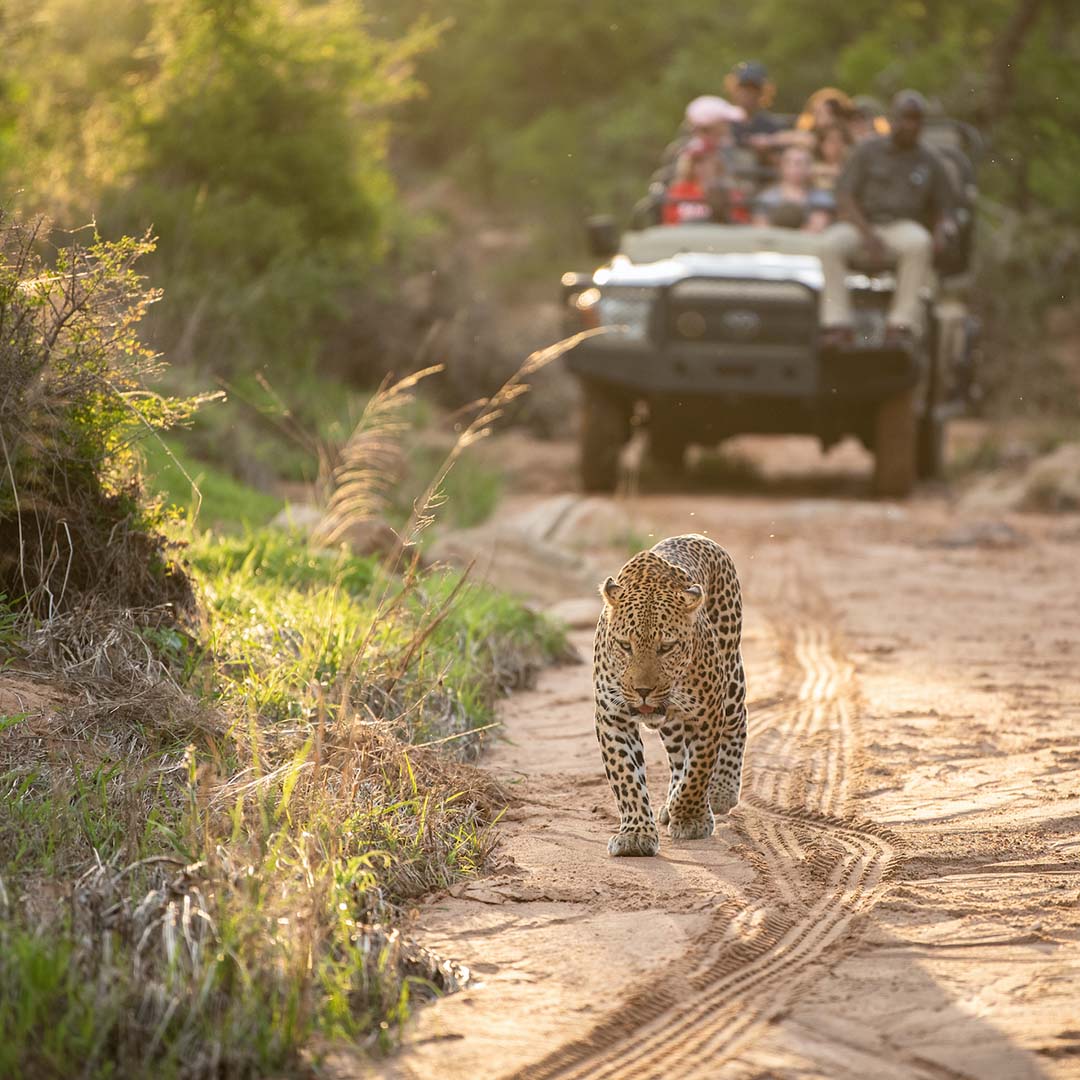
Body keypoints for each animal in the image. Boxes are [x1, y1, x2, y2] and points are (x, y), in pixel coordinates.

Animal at [593, 533, 747, 857]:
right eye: (625, 645)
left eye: (667, 647)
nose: (643, 691)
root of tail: (696, 536)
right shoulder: (613, 717)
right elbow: (626, 776)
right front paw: (636, 835)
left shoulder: (707, 713)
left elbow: (698, 770)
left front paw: (690, 817)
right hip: (672, 723)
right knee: (678, 755)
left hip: (730, 676)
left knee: (738, 720)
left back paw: (722, 791)